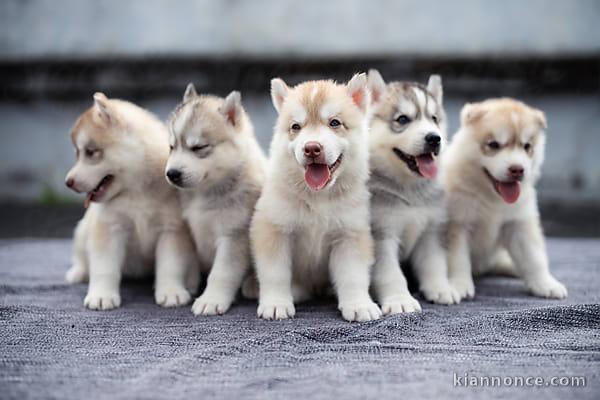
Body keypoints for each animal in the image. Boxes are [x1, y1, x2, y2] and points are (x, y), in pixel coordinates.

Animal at [64, 93, 198, 310]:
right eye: (77, 152)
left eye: (91, 152)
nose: (68, 182)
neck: (136, 192)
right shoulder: (109, 229)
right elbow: (104, 267)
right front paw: (101, 295)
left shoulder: (172, 231)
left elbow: (170, 266)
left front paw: (171, 292)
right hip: (82, 231)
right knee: (82, 257)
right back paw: (78, 272)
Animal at [165, 84, 266, 316]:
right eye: (171, 147)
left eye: (199, 147)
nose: (171, 174)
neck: (204, 193)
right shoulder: (188, 229)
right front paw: (188, 283)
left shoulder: (233, 236)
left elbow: (221, 272)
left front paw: (211, 300)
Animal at [251, 72, 382, 322]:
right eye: (296, 126)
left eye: (334, 123)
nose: (312, 148)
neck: (318, 198)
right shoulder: (274, 230)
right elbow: (275, 273)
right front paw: (276, 303)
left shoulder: (349, 235)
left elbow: (353, 276)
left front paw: (359, 305)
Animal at [440, 98, 568, 302]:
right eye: (493, 144)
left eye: (527, 146)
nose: (517, 169)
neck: (492, 197)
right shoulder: (458, 225)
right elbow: (458, 259)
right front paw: (460, 284)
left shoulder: (519, 224)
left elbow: (534, 257)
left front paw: (545, 284)